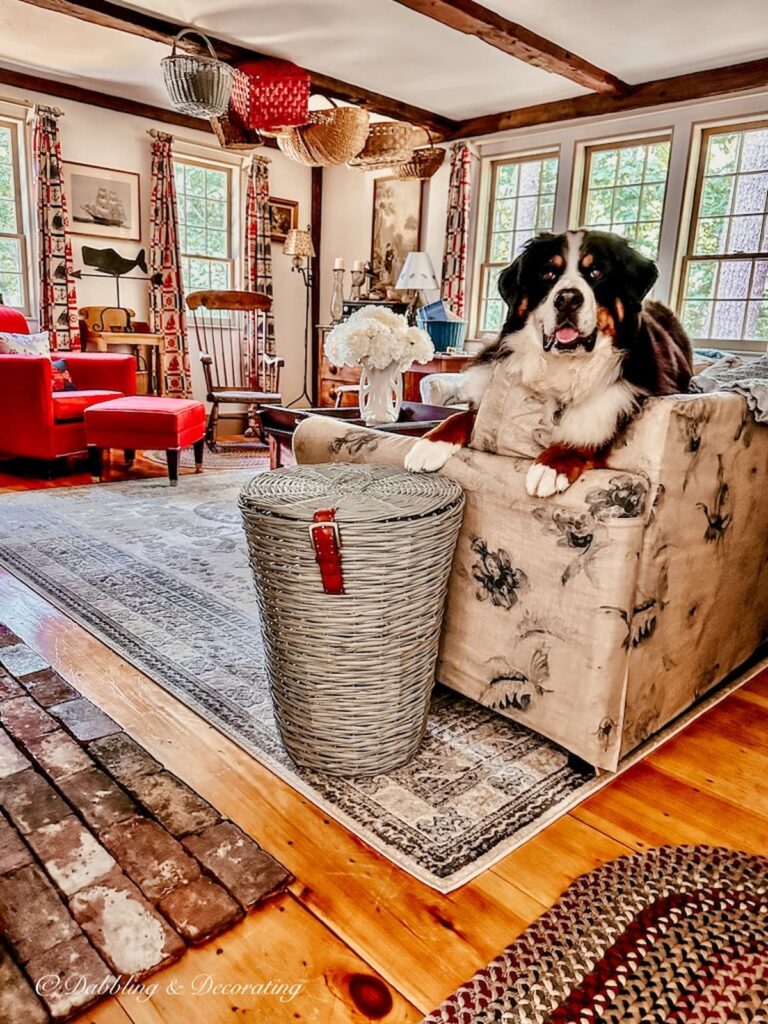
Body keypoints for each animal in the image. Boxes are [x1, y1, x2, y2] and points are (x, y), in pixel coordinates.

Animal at [405, 227, 696, 495]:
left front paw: (551, 465)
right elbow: (462, 416)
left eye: (596, 273)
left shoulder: (623, 400)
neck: (566, 364)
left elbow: (585, 430)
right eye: (548, 274)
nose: (567, 298)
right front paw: (429, 445)